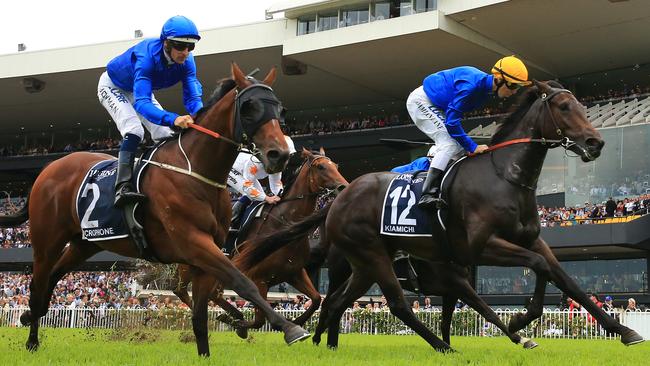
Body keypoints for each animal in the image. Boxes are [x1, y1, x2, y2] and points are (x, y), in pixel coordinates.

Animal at [0, 63, 312, 358]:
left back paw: (30, 315)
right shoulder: (194, 242)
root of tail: (47, 169)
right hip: (46, 241)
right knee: (38, 283)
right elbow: (242, 281)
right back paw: (32, 339)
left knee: (52, 277)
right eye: (249, 107)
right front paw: (290, 328)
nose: (279, 154)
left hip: (84, 244)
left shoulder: (204, 253)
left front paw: (209, 349)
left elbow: (200, 317)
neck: (197, 170)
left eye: (280, 109)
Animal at [170, 147, 346, 334]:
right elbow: (260, 320)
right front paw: (240, 325)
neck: (283, 224)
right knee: (182, 289)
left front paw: (296, 321)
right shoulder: (258, 279)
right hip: (191, 262)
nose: (344, 186)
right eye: (321, 167)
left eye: (336, 166)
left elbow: (316, 299)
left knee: (209, 292)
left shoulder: (294, 272)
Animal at [239, 81, 644, 352]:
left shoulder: (528, 240)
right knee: (395, 303)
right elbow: (531, 273)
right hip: (368, 253)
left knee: (338, 301)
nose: (596, 143)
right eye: (562, 107)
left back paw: (331, 344)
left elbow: (564, 279)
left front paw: (624, 331)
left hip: (367, 262)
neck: (504, 176)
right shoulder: (480, 248)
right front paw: (520, 322)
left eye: (581, 107)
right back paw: (439, 345)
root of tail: (338, 198)